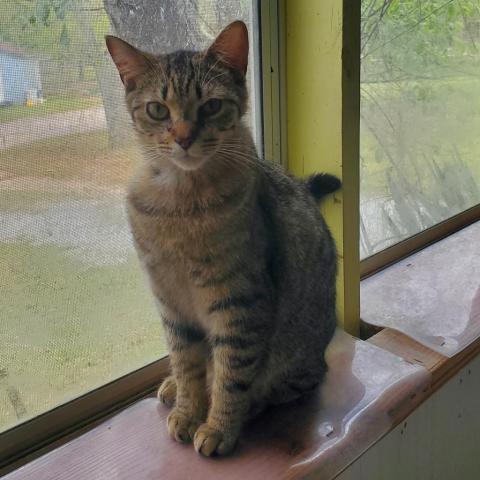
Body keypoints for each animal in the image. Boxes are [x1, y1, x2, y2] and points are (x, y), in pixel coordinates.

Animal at [106, 19, 338, 458]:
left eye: (211, 106)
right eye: (157, 109)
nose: (183, 137)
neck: (181, 203)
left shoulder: (240, 302)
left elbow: (232, 373)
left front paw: (218, 426)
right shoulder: (170, 302)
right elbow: (186, 362)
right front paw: (187, 408)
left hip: (297, 352)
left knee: (289, 382)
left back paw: (253, 404)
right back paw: (172, 387)